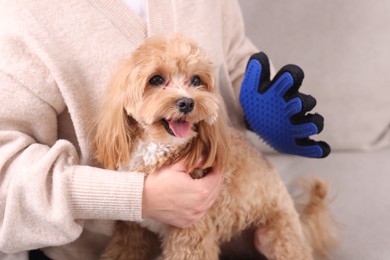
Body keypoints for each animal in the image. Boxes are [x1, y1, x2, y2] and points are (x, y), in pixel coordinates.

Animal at [93, 35, 336, 260]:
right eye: (156, 79)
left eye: (196, 80)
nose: (187, 103)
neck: (158, 147)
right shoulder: (133, 227)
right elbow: (127, 247)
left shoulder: (192, 231)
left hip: (276, 235)